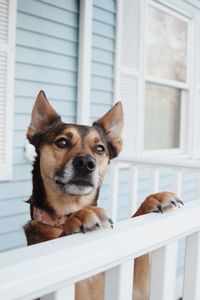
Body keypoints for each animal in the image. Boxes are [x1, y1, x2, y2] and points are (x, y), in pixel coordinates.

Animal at [23, 91, 183, 300]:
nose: (85, 163)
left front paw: (154, 199)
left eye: (99, 149)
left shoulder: (138, 290)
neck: (64, 214)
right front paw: (81, 216)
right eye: (62, 142)